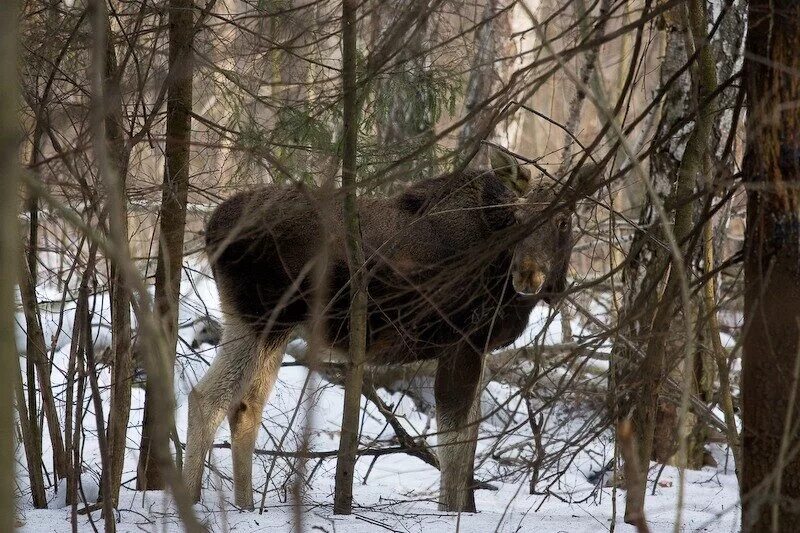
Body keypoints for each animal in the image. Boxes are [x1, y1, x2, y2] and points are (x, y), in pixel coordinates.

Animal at [186, 149, 600, 512]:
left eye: (563, 220)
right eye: (517, 217)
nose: (528, 275)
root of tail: (212, 227)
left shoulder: (478, 347)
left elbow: (470, 439)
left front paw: (466, 508)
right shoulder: (461, 342)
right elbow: (453, 441)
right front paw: (450, 512)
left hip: (274, 327)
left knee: (244, 407)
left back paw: (244, 504)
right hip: (259, 317)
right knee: (207, 398)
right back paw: (190, 499)